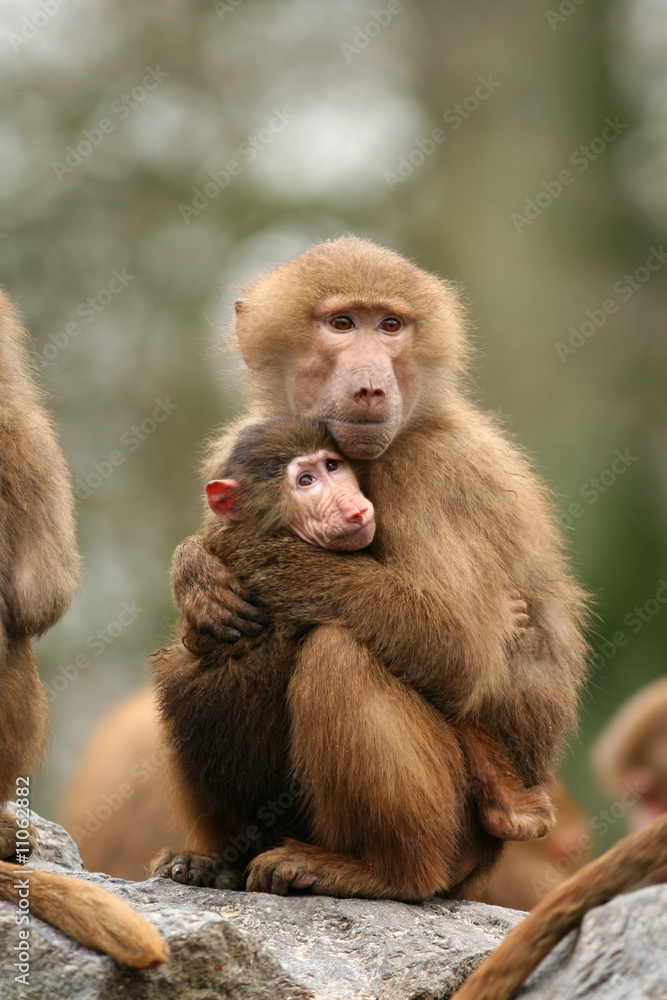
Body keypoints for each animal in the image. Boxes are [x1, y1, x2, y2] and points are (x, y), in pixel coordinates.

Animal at [163, 236, 587, 901]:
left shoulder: (432, 472)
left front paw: (245, 558)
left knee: (338, 652)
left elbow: (457, 645)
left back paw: (379, 872)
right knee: (192, 668)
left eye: (390, 326)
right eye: (342, 323)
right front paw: (197, 577)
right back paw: (219, 862)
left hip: (462, 838)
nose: (369, 387)